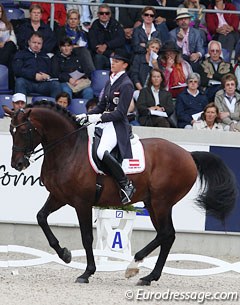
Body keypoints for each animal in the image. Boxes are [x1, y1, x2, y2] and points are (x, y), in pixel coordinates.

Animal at [4, 102, 237, 284]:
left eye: (23, 132)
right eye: (11, 131)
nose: (18, 164)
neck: (69, 150)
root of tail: (188, 155)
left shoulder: (82, 202)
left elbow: (86, 237)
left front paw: (87, 272)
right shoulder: (59, 197)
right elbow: (41, 218)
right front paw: (65, 254)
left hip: (161, 202)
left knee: (165, 233)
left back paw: (134, 266)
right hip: (154, 203)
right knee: (167, 235)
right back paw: (147, 276)